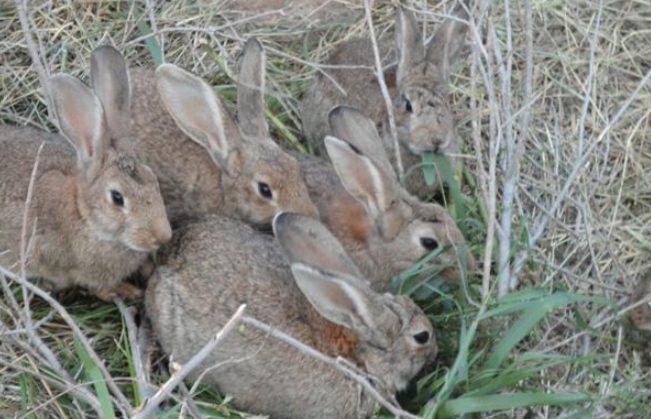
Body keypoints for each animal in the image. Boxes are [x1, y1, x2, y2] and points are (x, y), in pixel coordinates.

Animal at [0, 60, 172, 300]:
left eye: (153, 178)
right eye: (117, 197)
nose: (163, 236)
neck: (83, 214)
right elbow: (95, 287)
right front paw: (124, 290)